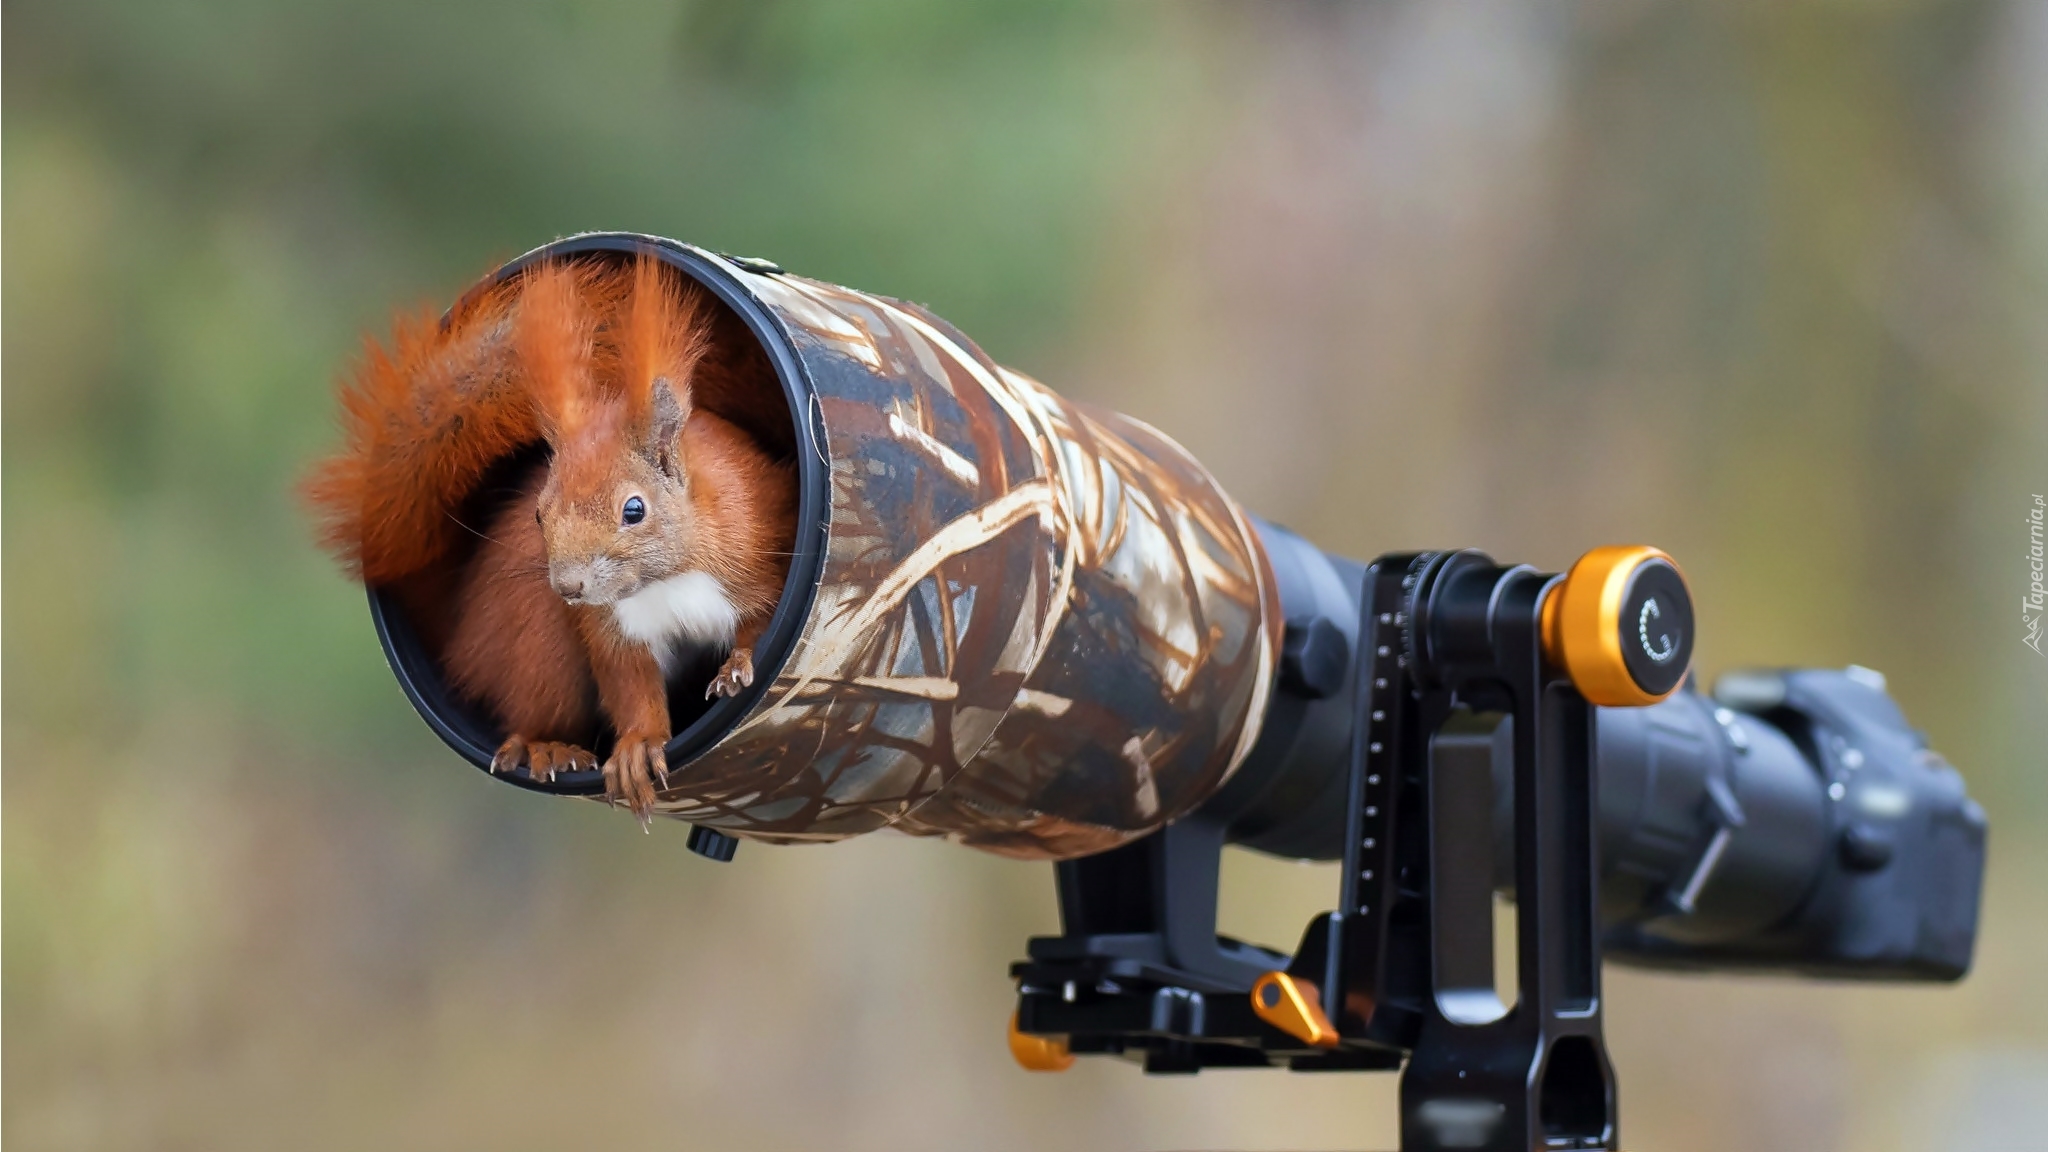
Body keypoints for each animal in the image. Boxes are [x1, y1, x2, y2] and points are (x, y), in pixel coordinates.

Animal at [307, 254, 794, 811]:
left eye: (634, 509)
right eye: (539, 514)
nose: (568, 587)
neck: (665, 581)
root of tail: (458, 639)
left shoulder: (757, 561)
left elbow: (760, 624)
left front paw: (738, 666)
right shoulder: (611, 630)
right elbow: (631, 687)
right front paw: (638, 745)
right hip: (538, 644)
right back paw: (547, 747)